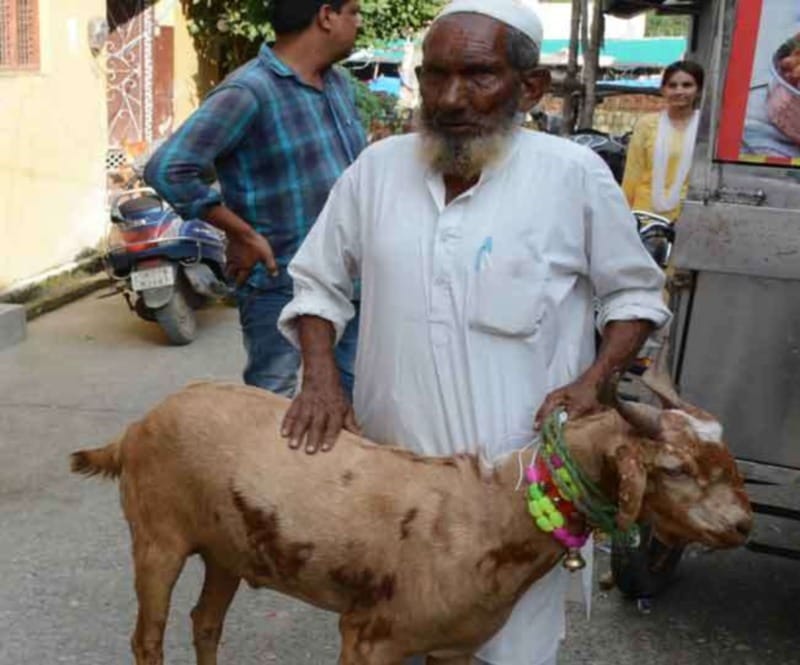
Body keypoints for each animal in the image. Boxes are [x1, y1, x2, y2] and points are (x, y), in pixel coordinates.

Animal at [71, 380, 752, 665]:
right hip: (156, 535)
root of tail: (135, 429)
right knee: (148, 637)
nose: (745, 525)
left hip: (226, 549)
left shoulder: (455, 646)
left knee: (205, 623)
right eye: (676, 467)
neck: (490, 513)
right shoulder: (369, 636)